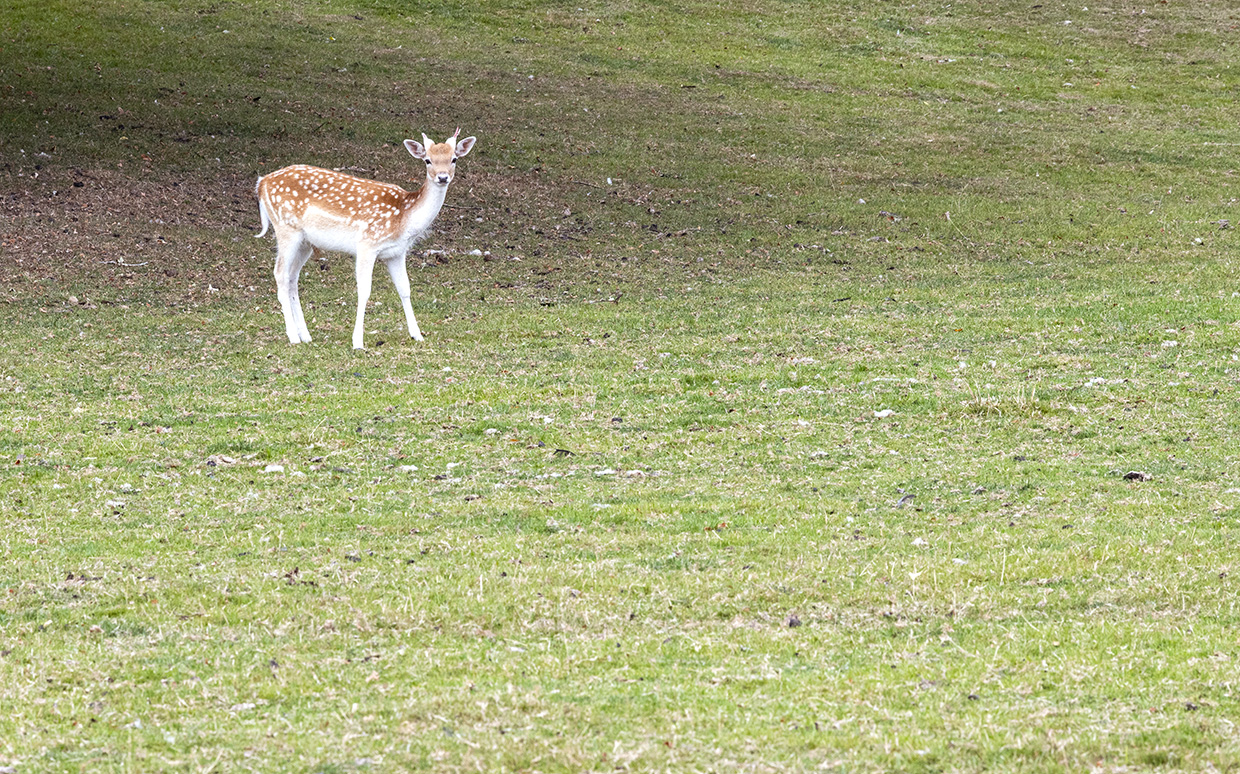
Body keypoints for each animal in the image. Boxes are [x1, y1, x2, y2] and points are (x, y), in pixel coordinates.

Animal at [255, 129, 477, 349]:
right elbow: (364, 291)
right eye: (427, 160)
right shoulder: (367, 244)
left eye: (454, 158)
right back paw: (293, 336)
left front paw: (417, 334)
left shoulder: (396, 253)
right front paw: (357, 342)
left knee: (293, 277)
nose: (442, 177)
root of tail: (261, 183)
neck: (404, 219)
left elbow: (405, 289)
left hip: (305, 242)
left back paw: (305, 335)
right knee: (280, 274)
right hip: (286, 228)